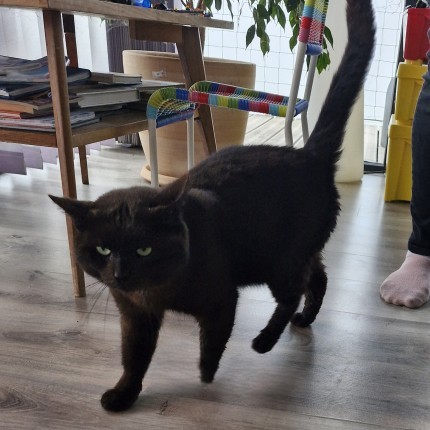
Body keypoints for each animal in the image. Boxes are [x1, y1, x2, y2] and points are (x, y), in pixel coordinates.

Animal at [50, 0, 375, 412]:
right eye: (103, 250)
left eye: (144, 249)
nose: (121, 274)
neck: (155, 291)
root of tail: (308, 155)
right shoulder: (134, 315)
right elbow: (134, 356)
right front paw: (123, 394)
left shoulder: (222, 299)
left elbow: (213, 339)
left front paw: (205, 374)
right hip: (300, 251)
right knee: (318, 278)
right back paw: (304, 320)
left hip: (279, 260)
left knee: (294, 291)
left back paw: (264, 341)